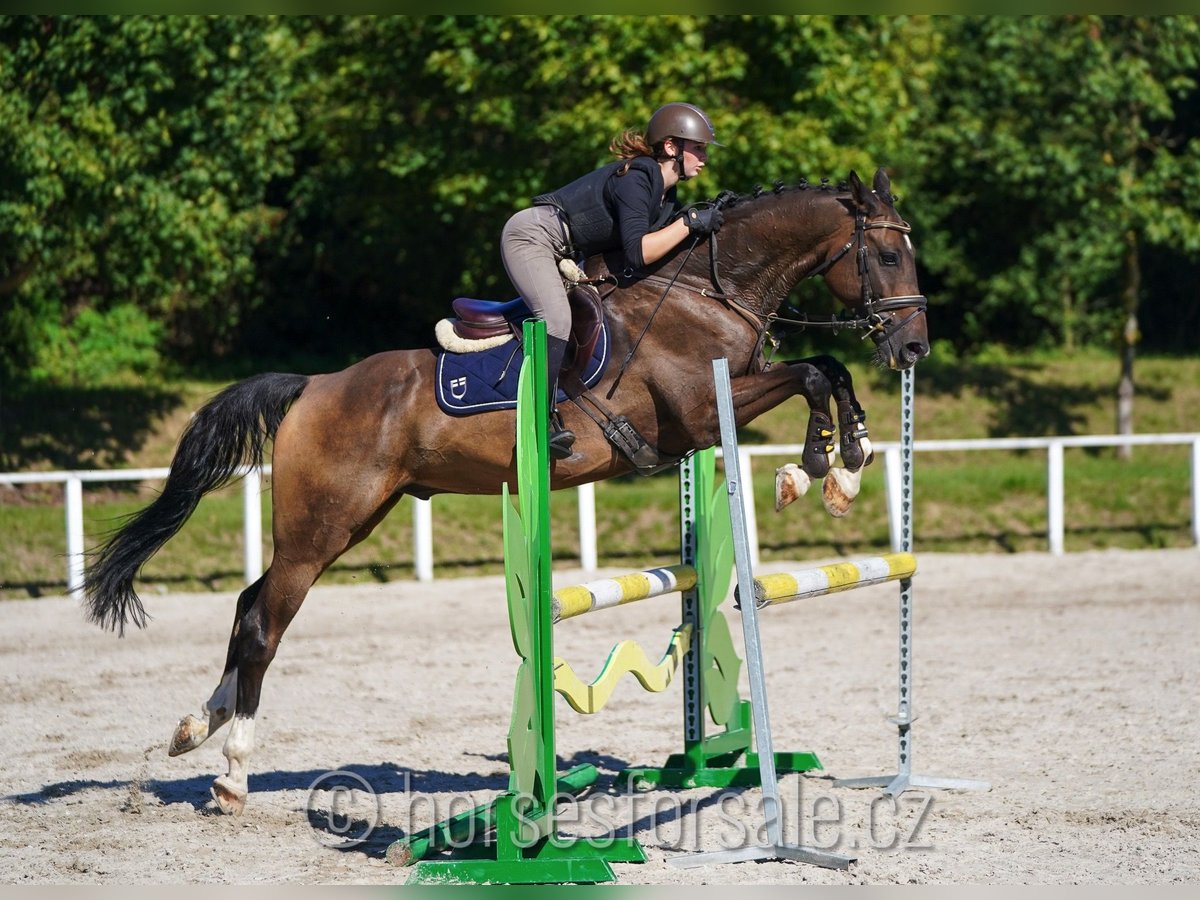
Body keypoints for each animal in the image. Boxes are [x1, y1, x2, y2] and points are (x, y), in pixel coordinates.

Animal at [82, 168, 926, 816]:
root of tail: (315, 385)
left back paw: (194, 729)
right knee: (264, 621)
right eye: (886, 254)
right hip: (322, 524)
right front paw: (817, 468)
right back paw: (232, 774)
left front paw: (846, 458)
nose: (913, 346)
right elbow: (813, 372)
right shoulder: (695, 414)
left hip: (350, 520)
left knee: (248, 603)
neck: (704, 290)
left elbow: (828, 370)